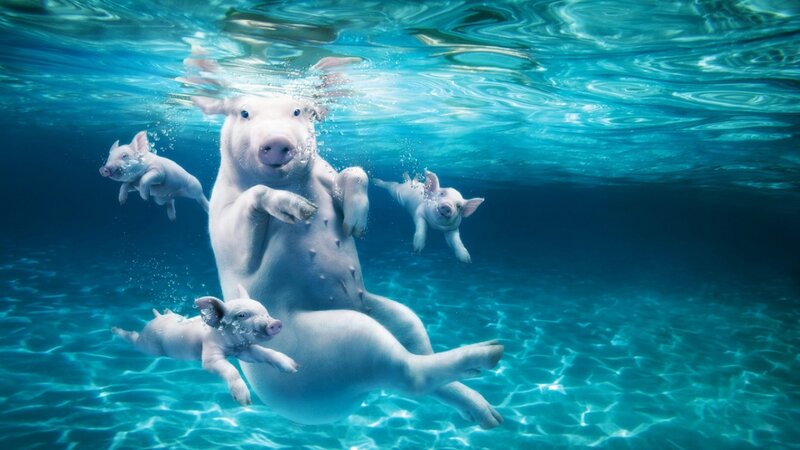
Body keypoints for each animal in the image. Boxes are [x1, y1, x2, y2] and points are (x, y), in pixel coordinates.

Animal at [111, 284, 298, 406]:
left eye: (266, 311)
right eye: (242, 315)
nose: (275, 323)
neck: (232, 345)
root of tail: (156, 319)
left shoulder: (243, 350)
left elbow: (263, 352)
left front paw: (294, 367)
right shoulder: (210, 355)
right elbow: (231, 369)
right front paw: (244, 402)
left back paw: (166, 310)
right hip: (148, 345)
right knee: (134, 338)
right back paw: (115, 329)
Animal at [194, 93, 503, 428]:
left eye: (298, 111)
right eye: (244, 113)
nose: (276, 140)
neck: (290, 182)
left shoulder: (327, 173)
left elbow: (355, 172)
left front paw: (354, 226)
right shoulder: (221, 219)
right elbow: (244, 222)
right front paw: (300, 209)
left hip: (391, 314)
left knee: (418, 349)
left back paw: (489, 413)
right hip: (332, 341)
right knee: (409, 373)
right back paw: (492, 353)